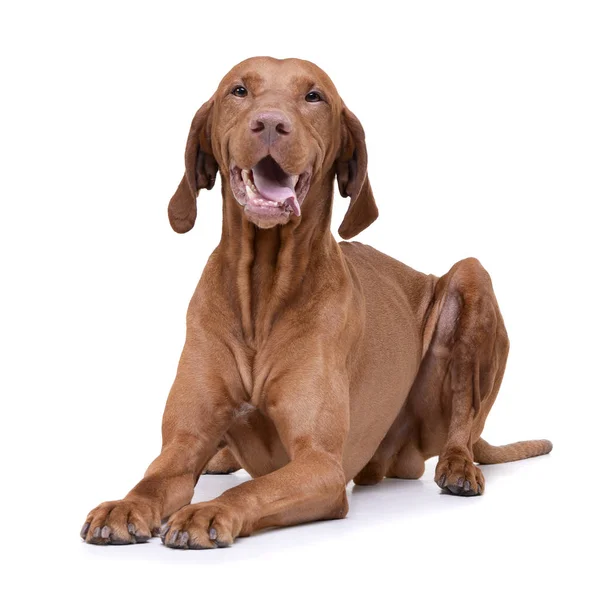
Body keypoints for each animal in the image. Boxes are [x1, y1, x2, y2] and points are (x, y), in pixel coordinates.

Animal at [81, 56, 552, 548]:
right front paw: (124, 505)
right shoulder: (183, 442)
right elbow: (154, 478)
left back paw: (458, 465)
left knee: (464, 415)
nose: (270, 123)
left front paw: (207, 511)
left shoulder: (320, 463)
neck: (263, 288)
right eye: (238, 90)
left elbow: (251, 489)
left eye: (314, 97)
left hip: (470, 277)